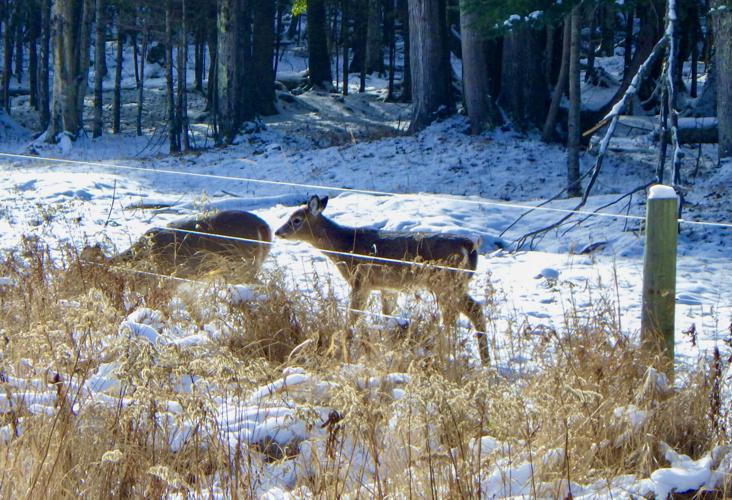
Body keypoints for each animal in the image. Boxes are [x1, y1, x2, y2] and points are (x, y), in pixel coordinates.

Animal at [275, 195, 489, 364]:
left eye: (296, 219)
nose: (278, 232)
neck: (344, 246)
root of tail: (470, 245)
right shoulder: (387, 287)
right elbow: (388, 318)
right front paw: (387, 349)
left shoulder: (361, 280)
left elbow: (352, 318)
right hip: (453, 283)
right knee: (466, 312)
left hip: (445, 282)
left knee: (467, 312)